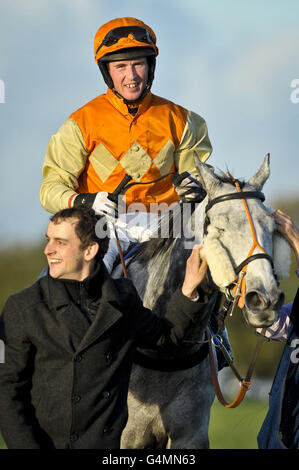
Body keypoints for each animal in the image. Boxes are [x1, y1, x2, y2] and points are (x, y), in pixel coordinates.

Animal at [112, 154, 290, 448]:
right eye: (220, 226)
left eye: (271, 226)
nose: (264, 299)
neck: (165, 347)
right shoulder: (124, 437)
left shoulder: (189, 436)